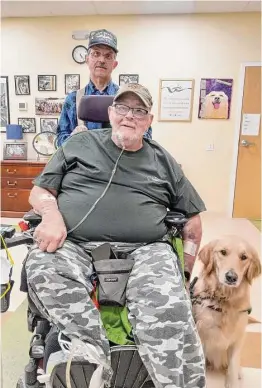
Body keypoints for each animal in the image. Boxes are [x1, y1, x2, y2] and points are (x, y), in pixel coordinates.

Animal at [191, 235, 260, 386]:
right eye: (223, 252)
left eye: (244, 257)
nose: (231, 277)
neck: (224, 300)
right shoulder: (202, 337)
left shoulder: (236, 339)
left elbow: (233, 367)